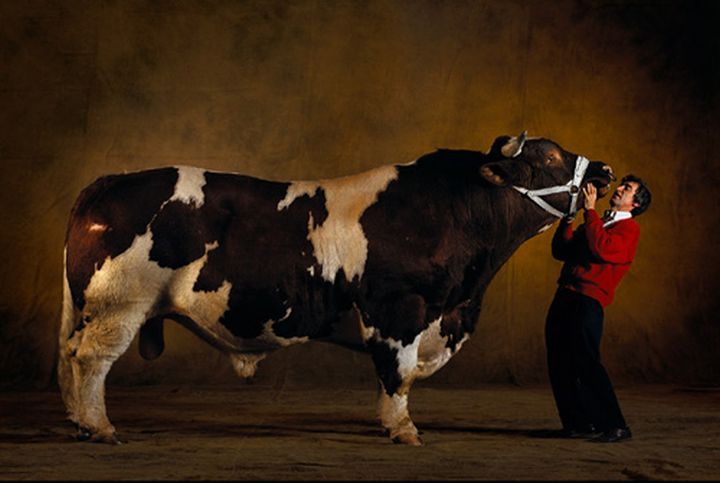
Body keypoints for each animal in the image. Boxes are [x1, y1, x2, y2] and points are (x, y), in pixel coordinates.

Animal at [59, 131, 616, 446]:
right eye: (549, 156)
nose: (606, 169)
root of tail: (110, 181)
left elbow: (394, 375)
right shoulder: (400, 309)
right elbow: (398, 374)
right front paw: (402, 430)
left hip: (92, 307)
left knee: (69, 357)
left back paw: (77, 422)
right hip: (119, 304)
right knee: (91, 361)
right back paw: (100, 428)